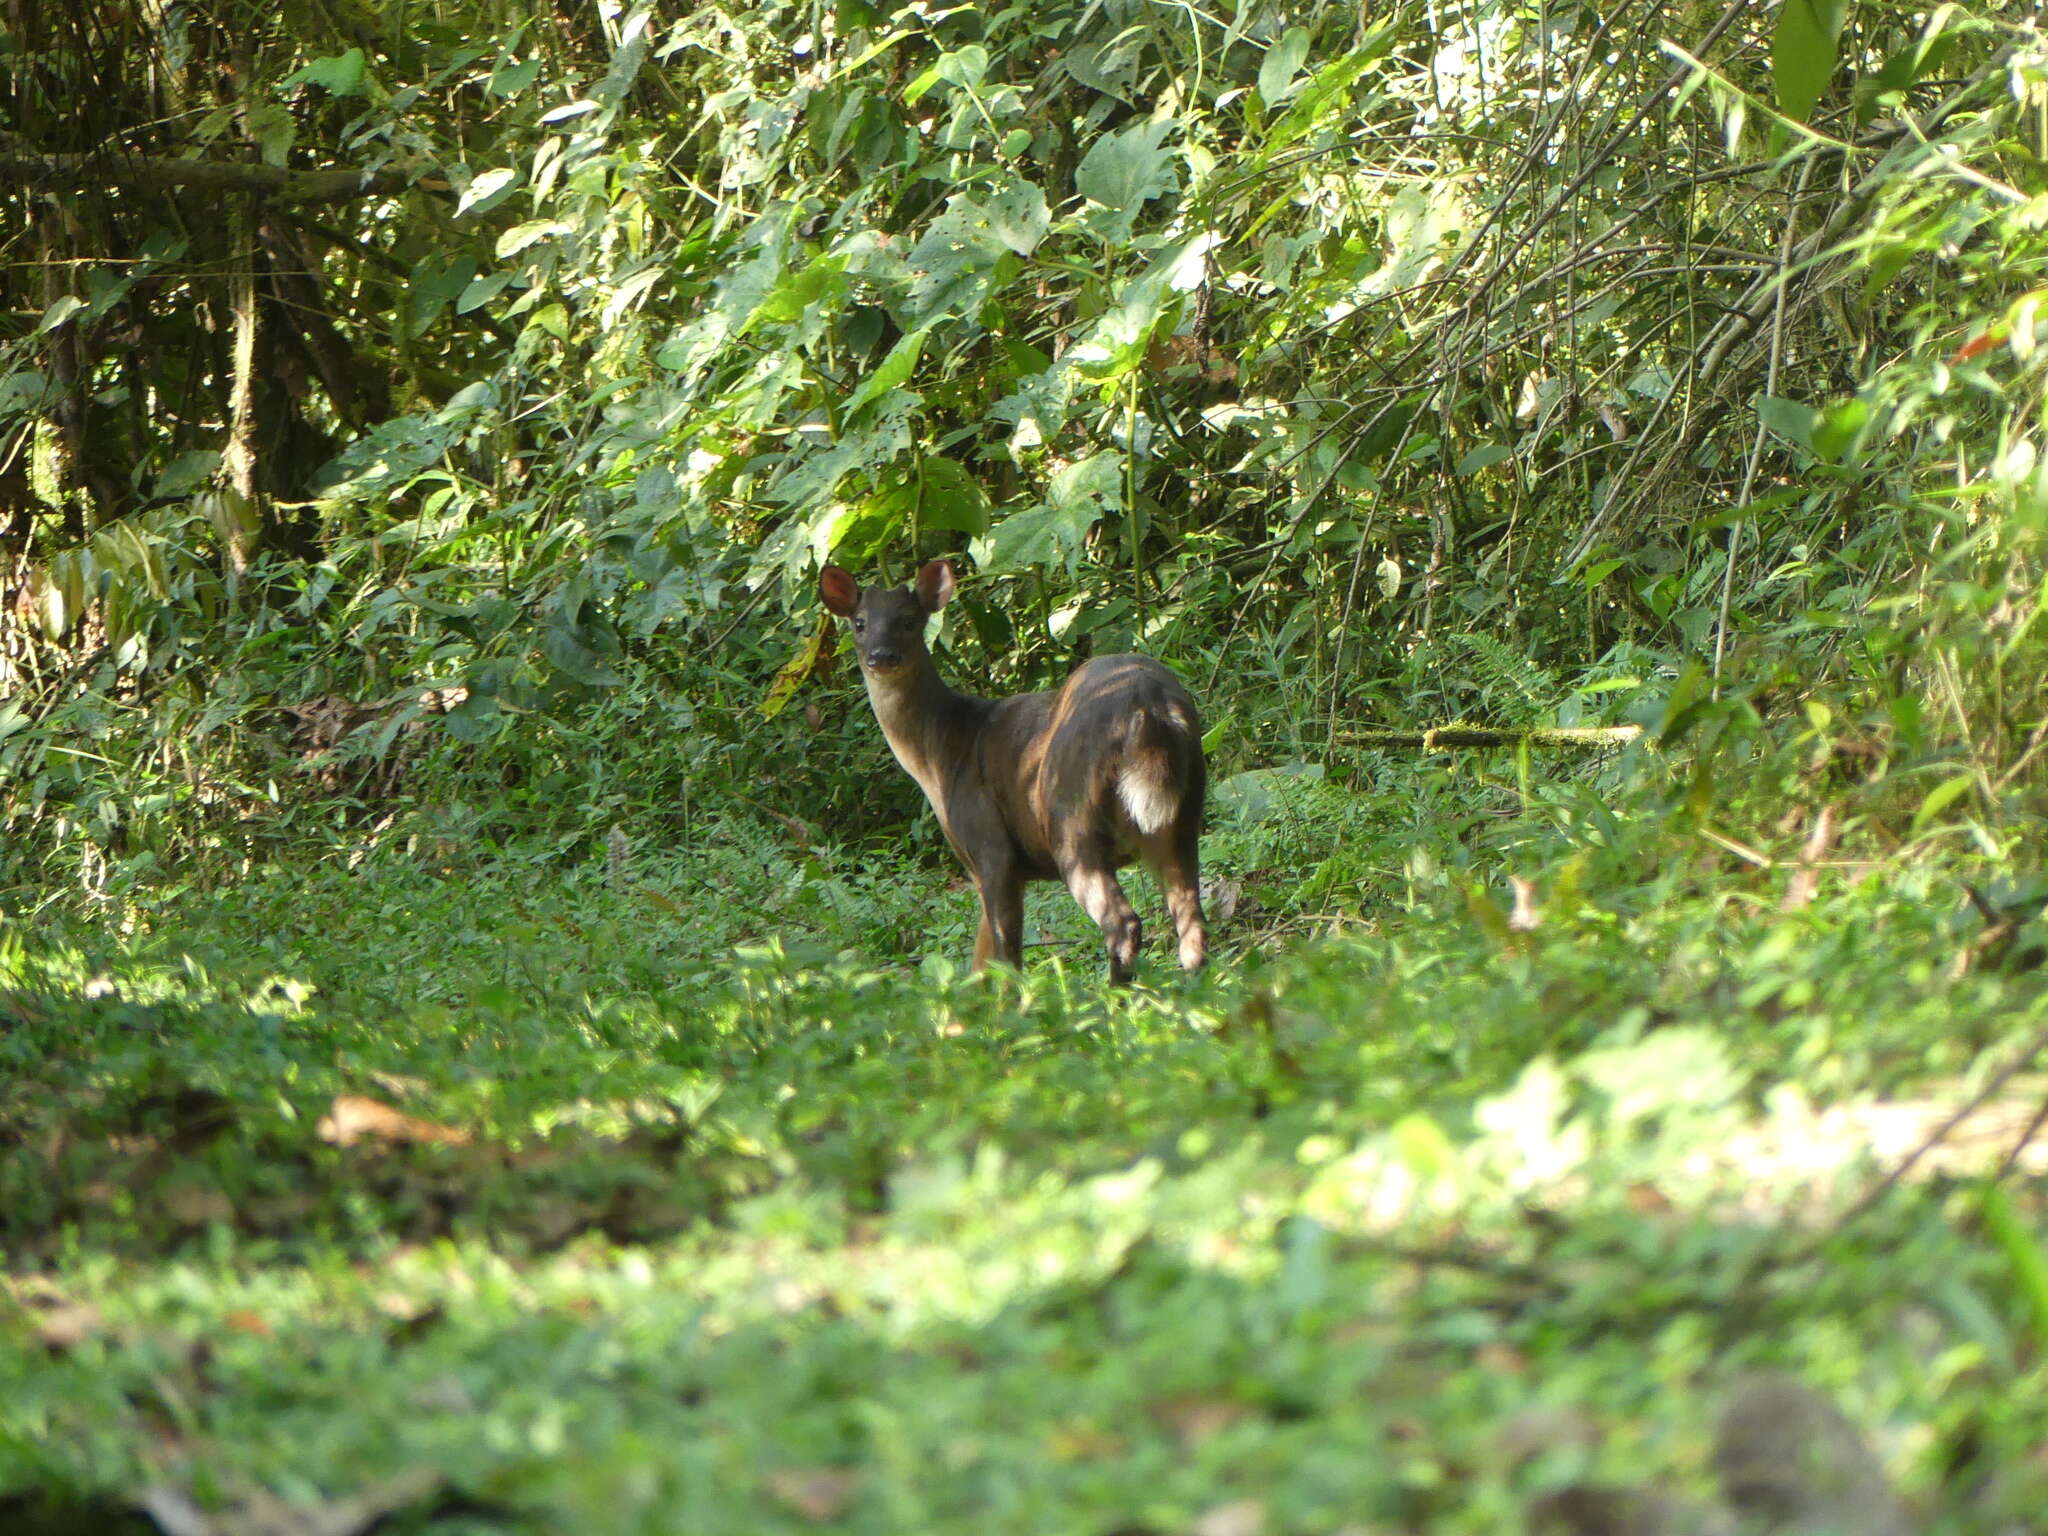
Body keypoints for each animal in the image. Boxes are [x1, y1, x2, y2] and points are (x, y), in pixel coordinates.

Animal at [815, 561, 1196, 987]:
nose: (881, 656)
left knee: (1123, 922)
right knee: (1192, 924)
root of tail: (1148, 708)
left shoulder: (991, 849)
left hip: (1071, 824)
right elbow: (981, 963)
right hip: (1183, 819)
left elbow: (1006, 959)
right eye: (860, 623)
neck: (944, 756)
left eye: (910, 621)